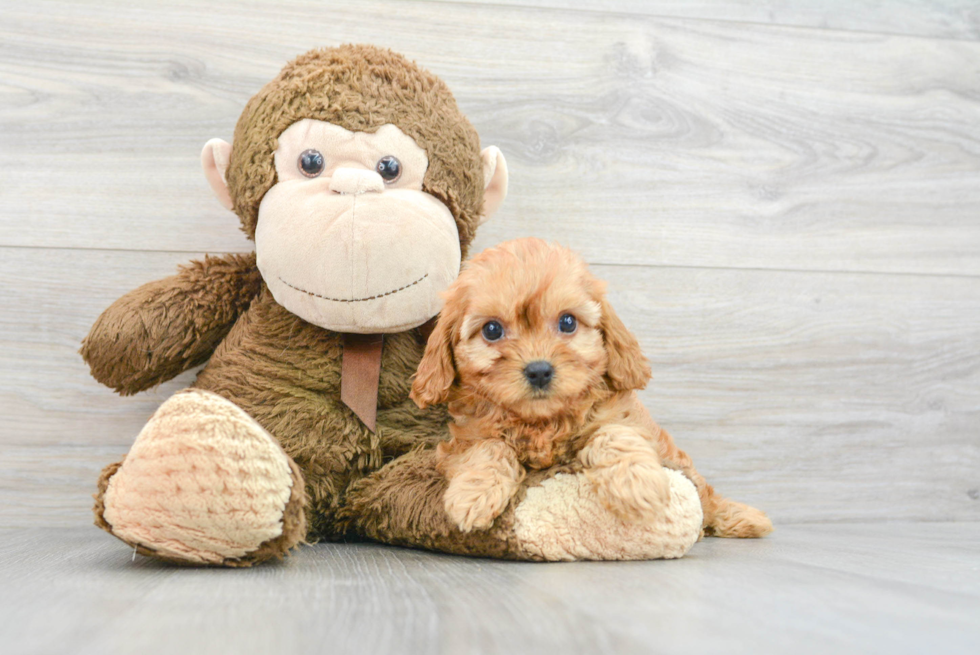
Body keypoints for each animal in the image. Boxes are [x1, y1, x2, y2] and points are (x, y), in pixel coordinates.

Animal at [412, 241, 672, 532]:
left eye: (568, 322)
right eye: (492, 329)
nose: (538, 371)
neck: (541, 424)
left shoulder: (629, 419)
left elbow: (615, 432)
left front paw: (636, 482)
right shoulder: (462, 440)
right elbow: (488, 446)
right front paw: (474, 493)